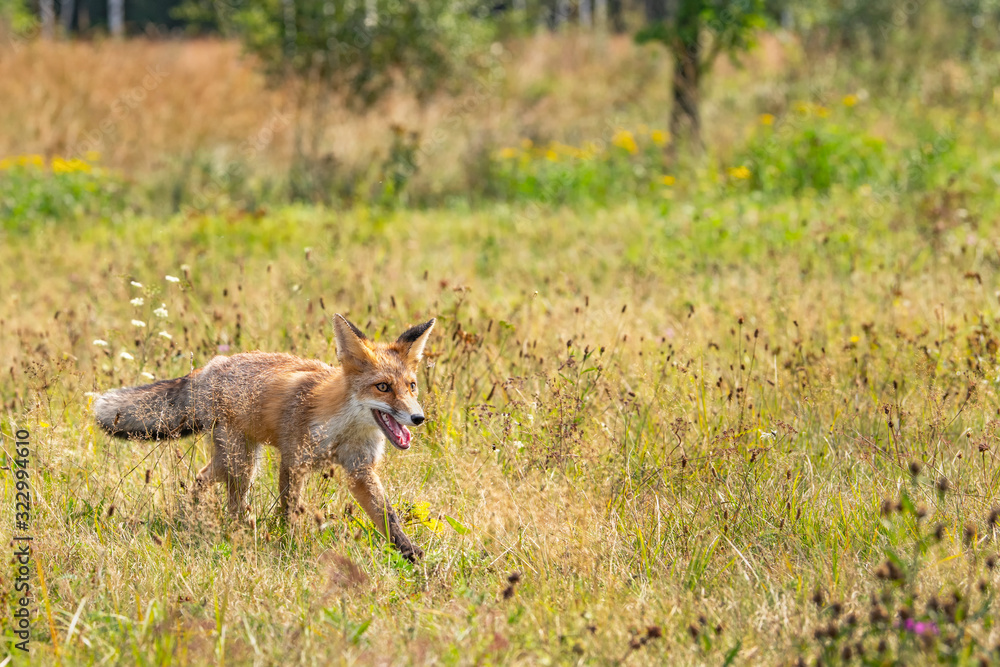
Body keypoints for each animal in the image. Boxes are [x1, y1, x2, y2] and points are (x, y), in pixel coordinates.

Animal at [92, 314, 434, 562]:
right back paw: (238, 530)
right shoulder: (294, 461)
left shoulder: (360, 469)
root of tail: (207, 368)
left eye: (412, 386)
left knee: (201, 480)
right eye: (383, 387)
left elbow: (388, 516)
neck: (343, 430)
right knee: (232, 502)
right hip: (242, 463)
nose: (418, 418)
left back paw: (192, 514)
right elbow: (290, 510)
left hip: (233, 461)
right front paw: (291, 545)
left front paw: (411, 553)